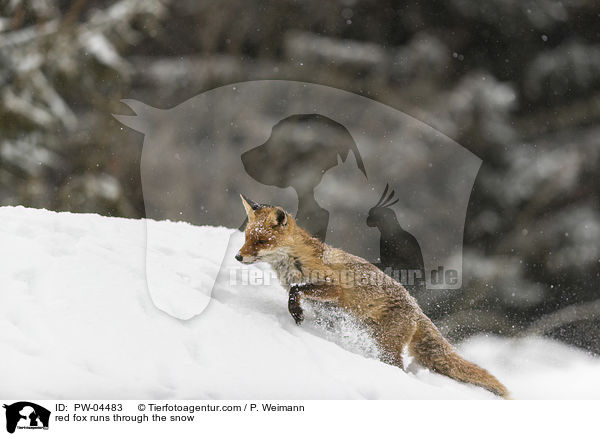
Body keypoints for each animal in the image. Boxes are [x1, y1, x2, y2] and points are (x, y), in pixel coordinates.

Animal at [237, 194, 508, 398]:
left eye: (261, 241)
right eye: (247, 237)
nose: (238, 257)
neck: (293, 262)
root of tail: (417, 308)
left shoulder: (333, 288)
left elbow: (296, 291)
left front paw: (296, 312)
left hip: (386, 348)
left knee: (399, 368)